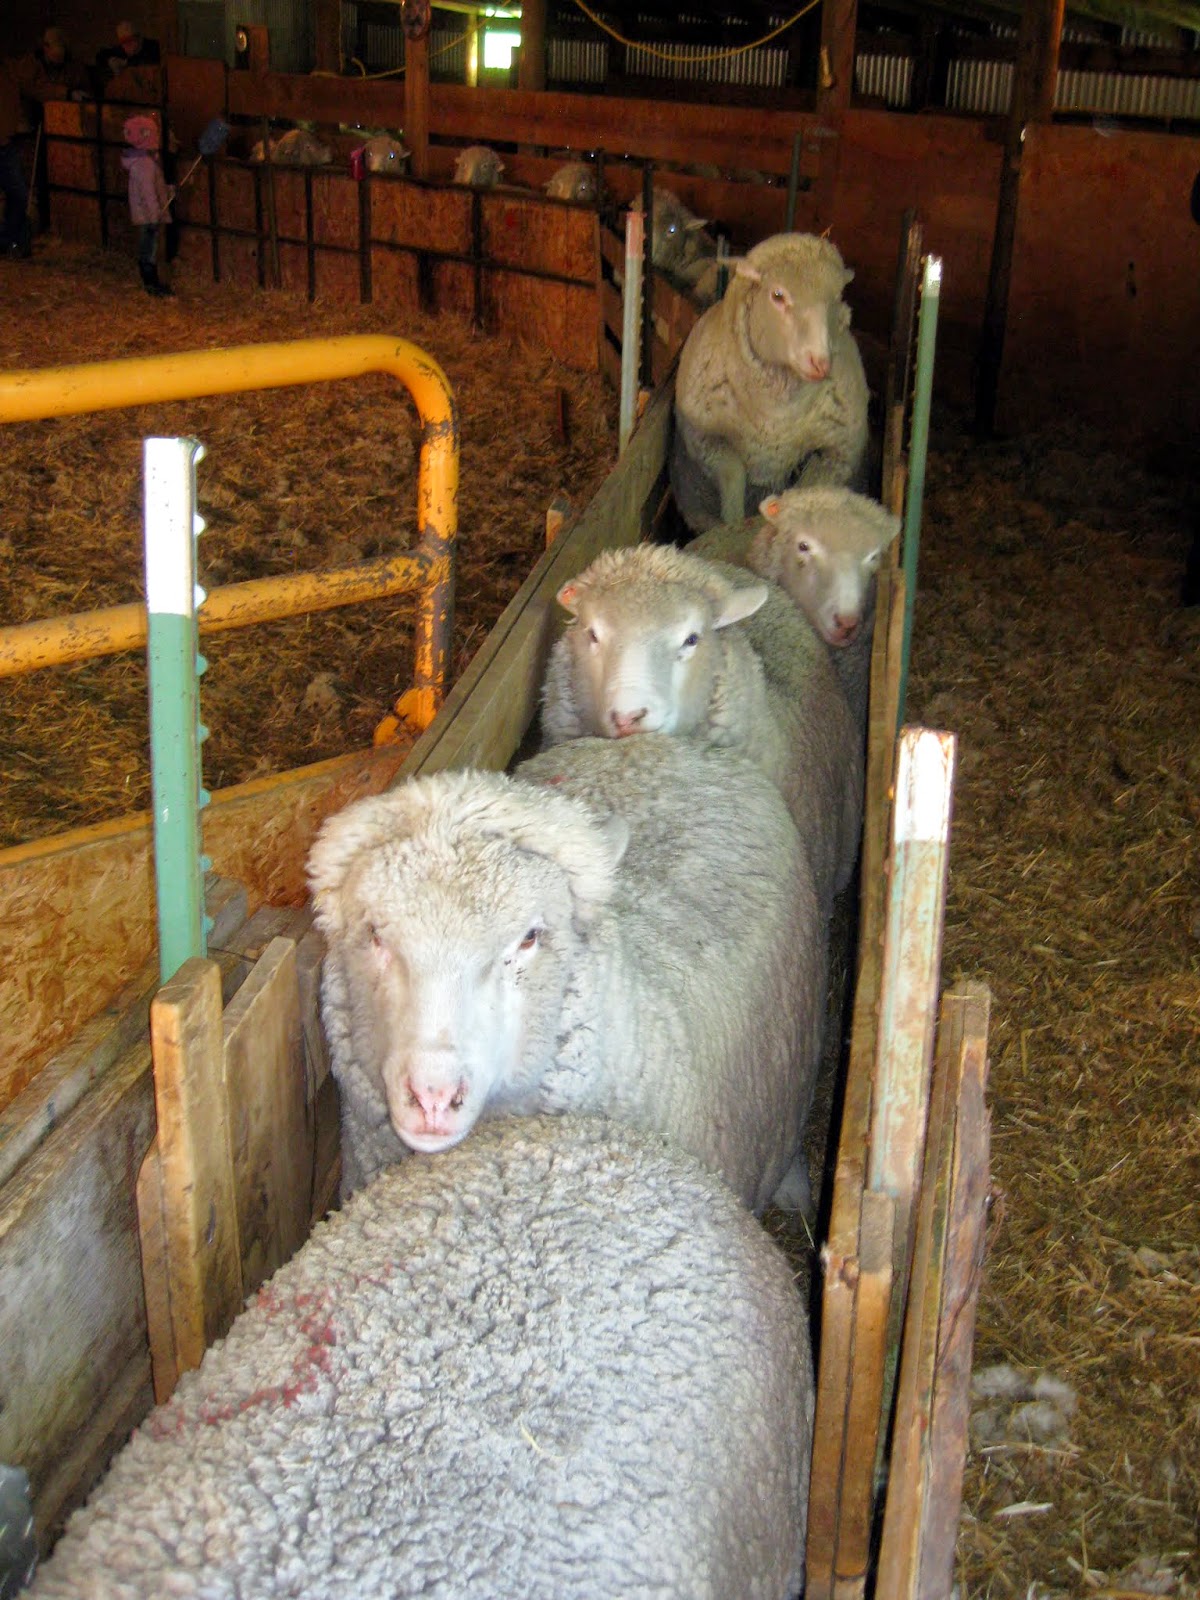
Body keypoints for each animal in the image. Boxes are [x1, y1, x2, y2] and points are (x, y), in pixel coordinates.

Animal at [670, 232, 870, 533]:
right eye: (777, 295)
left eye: (837, 298)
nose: (820, 362)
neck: (776, 417)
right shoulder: (703, 439)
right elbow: (733, 477)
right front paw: (734, 525)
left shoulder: (838, 455)